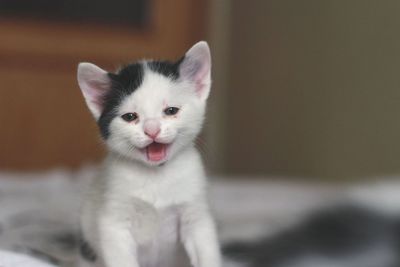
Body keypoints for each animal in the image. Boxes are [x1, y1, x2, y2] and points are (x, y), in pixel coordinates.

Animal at [75, 40, 219, 267]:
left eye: (171, 111)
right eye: (130, 116)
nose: (152, 130)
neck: (156, 175)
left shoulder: (196, 215)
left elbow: (206, 250)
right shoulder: (114, 223)